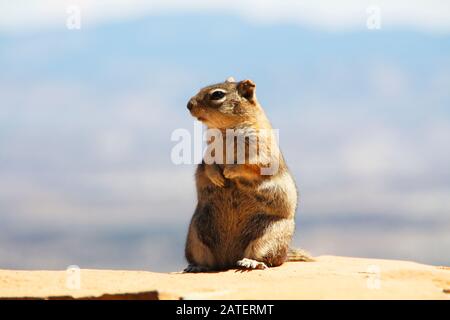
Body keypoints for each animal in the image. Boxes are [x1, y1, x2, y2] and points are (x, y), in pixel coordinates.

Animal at [182, 76, 310, 272]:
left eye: (217, 95)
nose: (189, 104)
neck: (225, 130)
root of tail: (228, 260)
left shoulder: (261, 150)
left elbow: (249, 165)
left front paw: (229, 171)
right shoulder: (208, 152)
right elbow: (207, 165)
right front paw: (217, 177)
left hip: (270, 236)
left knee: (267, 259)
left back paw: (250, 262)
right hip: (195, 235)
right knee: (207, 262)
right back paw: (197, 266)